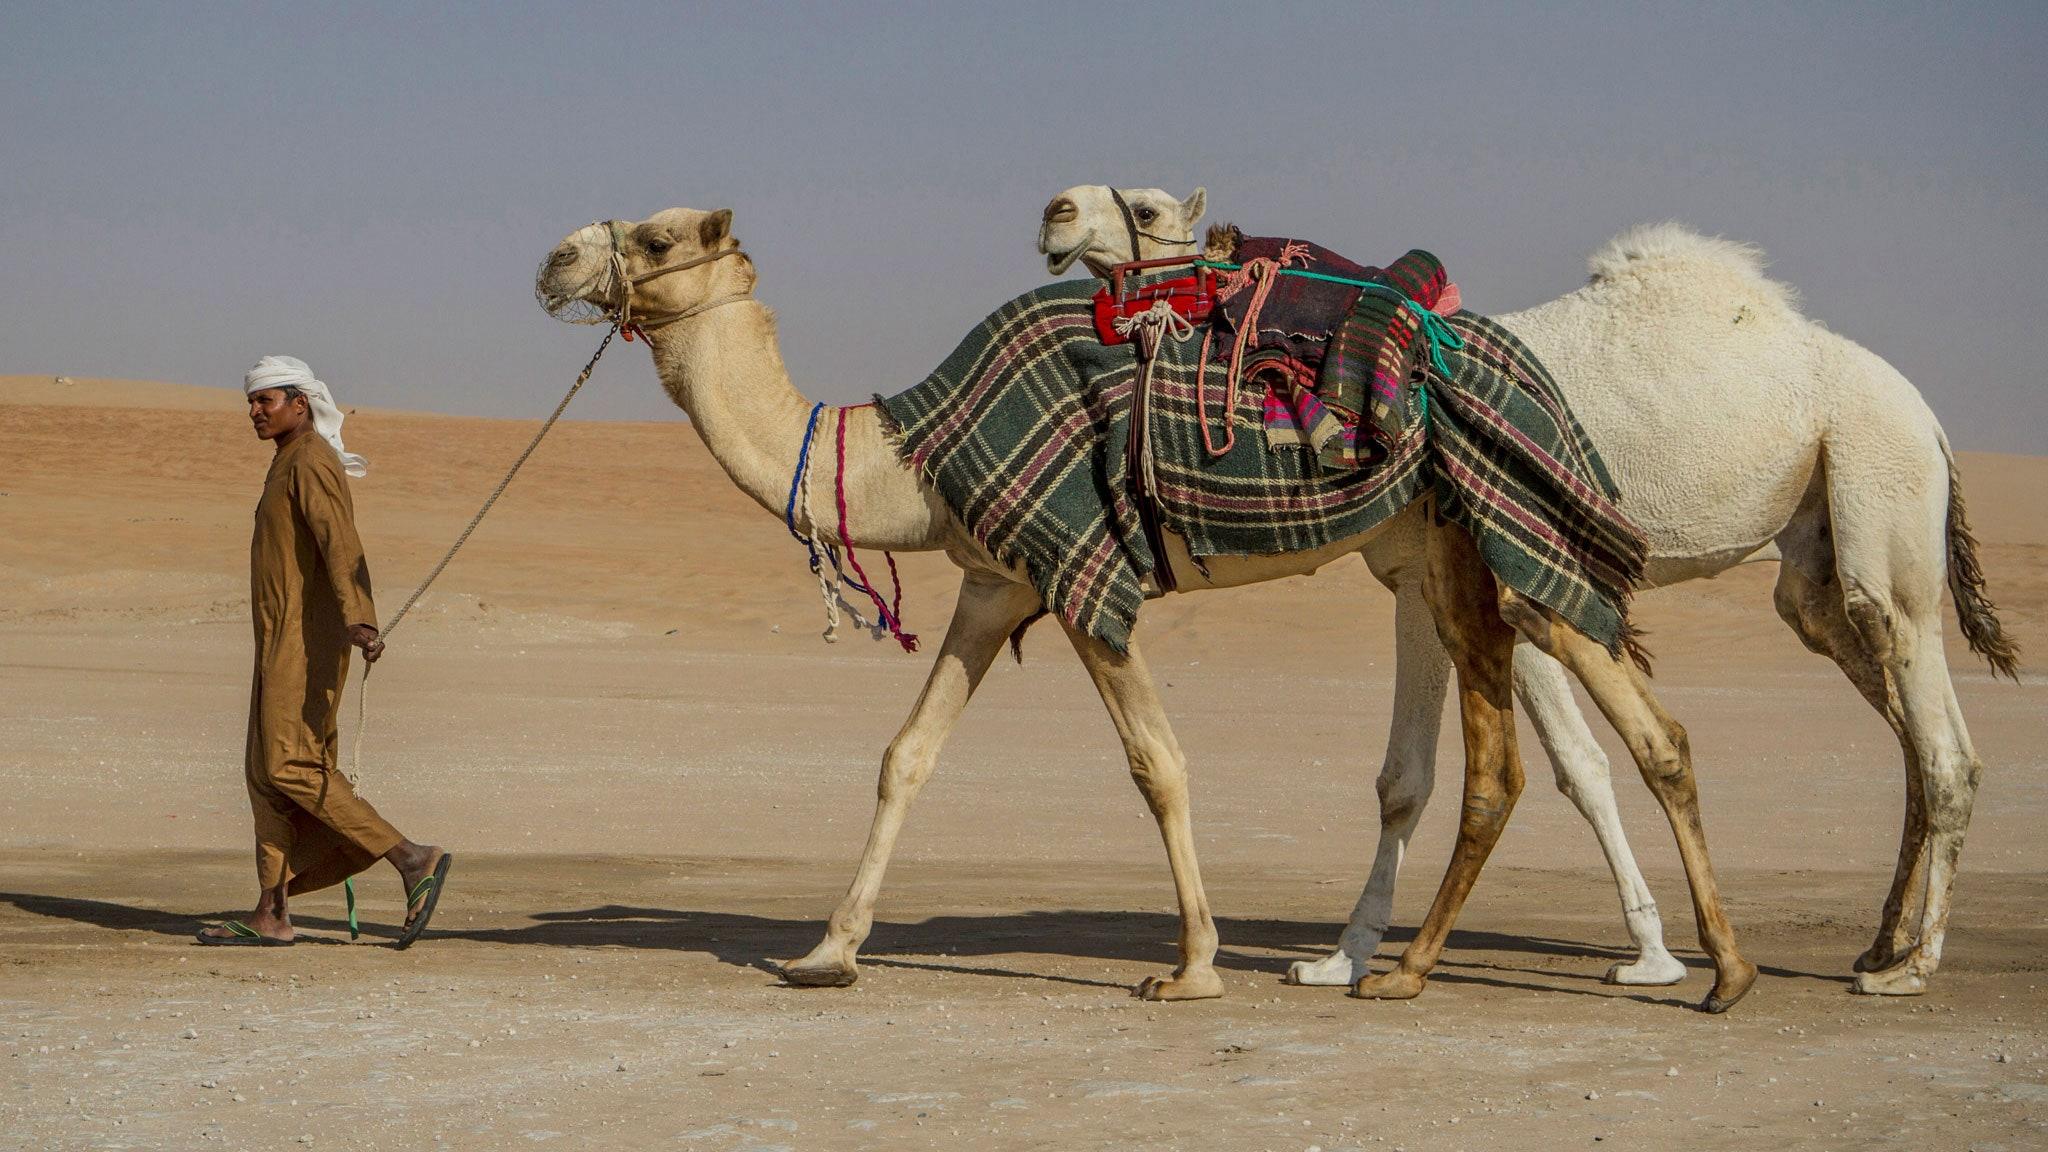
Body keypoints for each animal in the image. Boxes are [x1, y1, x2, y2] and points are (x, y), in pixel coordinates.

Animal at [536, 205, 1759, 1012]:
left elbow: (1155, 764)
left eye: (657, 239)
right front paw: (825, 953)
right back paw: (1698, 971)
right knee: (1628, 733)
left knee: (1562, 736)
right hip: (1462, 540)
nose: (553, 259)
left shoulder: (1081, 571)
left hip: (1481, 530)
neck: (909, 456)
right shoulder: (997, 582)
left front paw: (1193, 968)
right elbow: (906, 755)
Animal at [1038, 184, 2018, 997]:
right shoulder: (1415, 578)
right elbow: (1406, 778)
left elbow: (1579, 765)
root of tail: (1932, 420)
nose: (1057, 212)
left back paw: (1914, 967)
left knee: (1941, 743)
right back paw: (1880, 945)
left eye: (1149, 208)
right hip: (1813, 572)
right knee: (1897, 720)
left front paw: (1653, 956)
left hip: (1879, 483)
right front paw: (1339, 959)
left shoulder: (1511, 565)